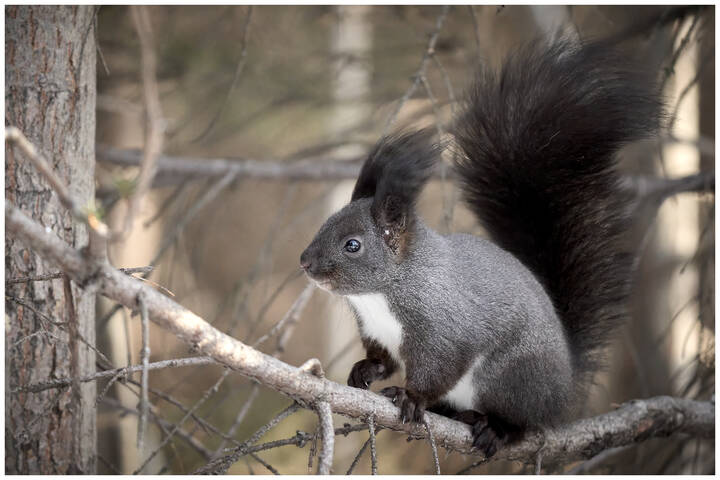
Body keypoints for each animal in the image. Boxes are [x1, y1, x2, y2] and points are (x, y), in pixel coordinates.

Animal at [299, 37, 662, 457]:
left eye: (352, 245)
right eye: (327, 223)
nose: (305, 263)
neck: (382, 293)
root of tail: (565, 387)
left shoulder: (444, 329)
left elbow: (440, 368)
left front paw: (412, 398)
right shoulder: (376, 331)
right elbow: (384, 360)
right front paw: (365, 369)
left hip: (508, 377)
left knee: (524, 423)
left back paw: (495, 429)